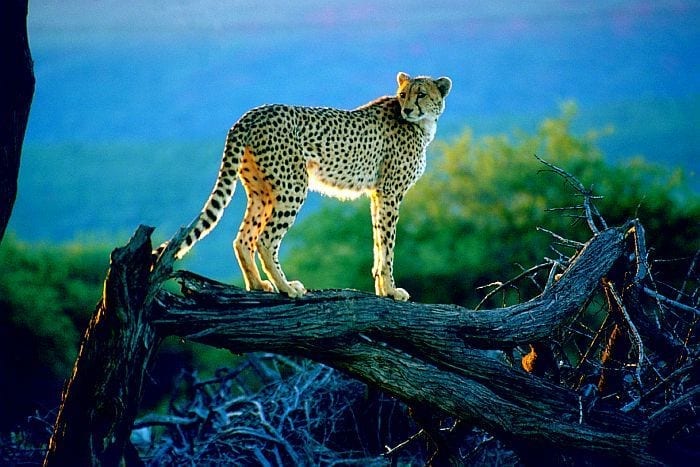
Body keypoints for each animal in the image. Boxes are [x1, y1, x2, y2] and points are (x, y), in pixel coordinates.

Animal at [169, 71, 451, 301]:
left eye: (421, 94)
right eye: (403, 95)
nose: (408, 110)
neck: (422, 126)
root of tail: (250, 114)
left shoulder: (377, 194)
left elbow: (378, 243)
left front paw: (383, 290)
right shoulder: (390, 193)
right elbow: (388, 245)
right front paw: (392, 291)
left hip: (262, 191)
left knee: (243, 238)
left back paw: (258, 285)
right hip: (293, 186)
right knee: (265, 239)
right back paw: (286, 287)